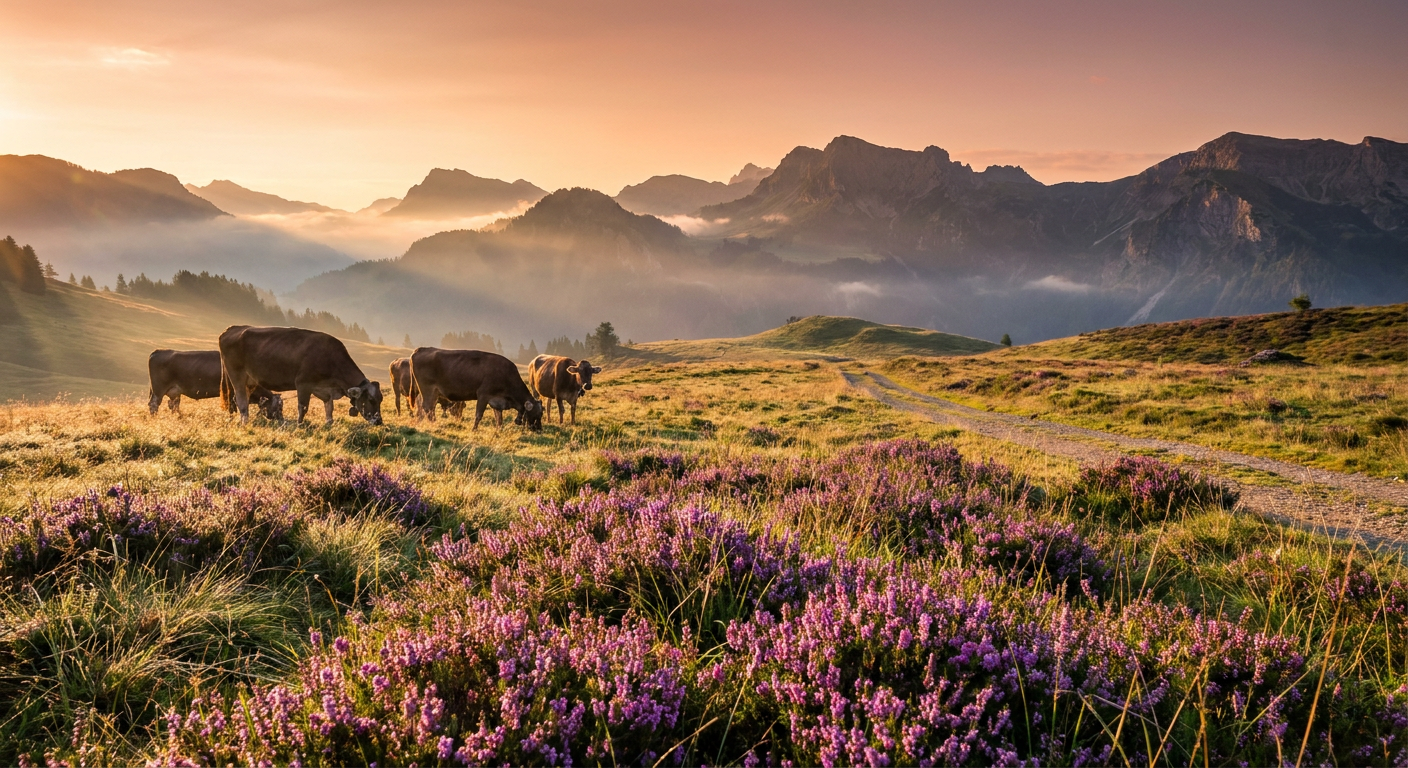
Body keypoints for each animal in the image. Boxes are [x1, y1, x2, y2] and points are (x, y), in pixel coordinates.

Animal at [149, 349, 283, 420]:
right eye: (279, 406)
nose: (282, 420)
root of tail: (159, 351)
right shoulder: (232, 393)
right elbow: (233, 408)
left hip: (174, 391)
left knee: (174, 405)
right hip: (158, 390)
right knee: (154, 404)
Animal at [219, 325, 384, 425]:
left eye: (380, 399)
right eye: (370, 399)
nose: (379, 421)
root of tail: (232, 328)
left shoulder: (325, 390)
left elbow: (329, 408)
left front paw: (329, 423)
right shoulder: (303, 384)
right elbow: (303, 407)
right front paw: (300, 425)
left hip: (251, 380)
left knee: (243, 399)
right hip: (237, 375)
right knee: (241, 401)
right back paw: (245, 423)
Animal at [410, 347, 542, 430]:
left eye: (541, 413)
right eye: (537, 414)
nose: (539, 429)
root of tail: (420, 349)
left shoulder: (496, 400)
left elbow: (499, 418)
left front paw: (499, 430)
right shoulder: (483, 396)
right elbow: (479, 415)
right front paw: (474, 429)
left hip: (433, 392)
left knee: (429, 408)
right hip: (427, 389)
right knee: (427, 407)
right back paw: (434, 424)